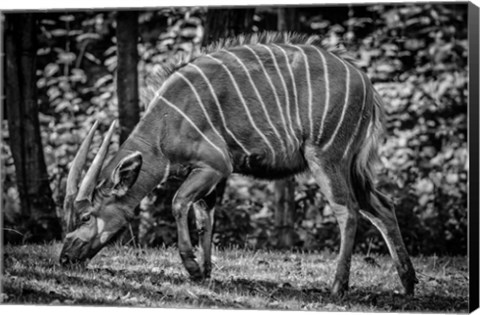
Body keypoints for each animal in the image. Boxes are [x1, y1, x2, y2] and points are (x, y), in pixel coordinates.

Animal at [62, 31, 416, 296]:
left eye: (85, 216)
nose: (65, 258)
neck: (165, 123)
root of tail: (366, 83)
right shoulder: (212, 173)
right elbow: (205, 213)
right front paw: (206, 271)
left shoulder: (216, 165)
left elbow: (179, 202)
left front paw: (192, 266)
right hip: (352, 165)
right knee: (382, 206)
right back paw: (408, 284)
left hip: (327, 156)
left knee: (348, 210)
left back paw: (338, 286)